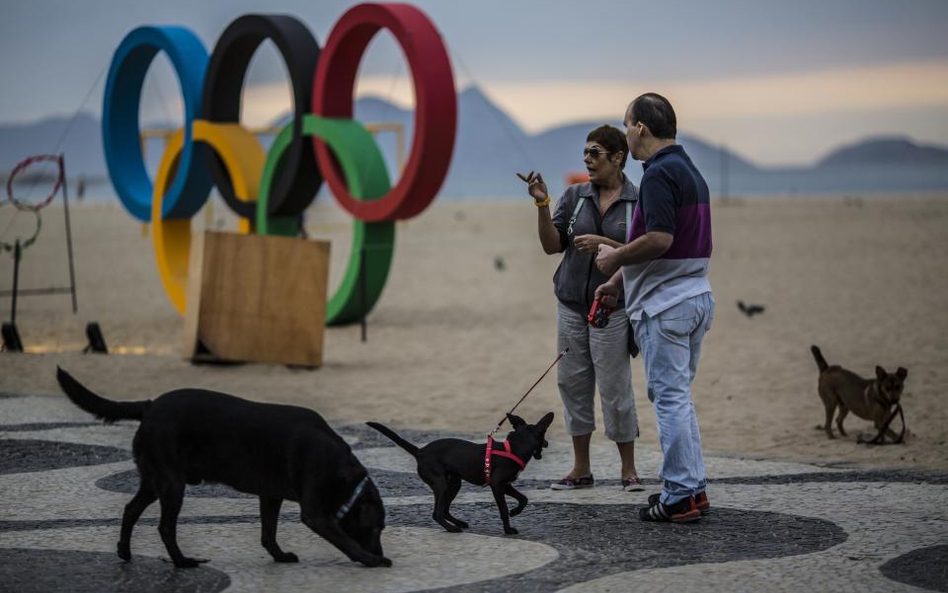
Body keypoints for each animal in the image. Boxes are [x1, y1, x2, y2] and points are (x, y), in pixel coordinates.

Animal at [55, 366, 390, 568]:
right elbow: (345, 540)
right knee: (164, 527)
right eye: (377, 528)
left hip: (153, 481)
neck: (343, 475)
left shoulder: (270, 496)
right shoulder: (315, 514)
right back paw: (182, 562)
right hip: (172, 484)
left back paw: (124, 552)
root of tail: (149, 406)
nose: (380, 552)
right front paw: (370, 560)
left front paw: (279, 556)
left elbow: (268, 534)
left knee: (130, 510)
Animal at [366, 414, 552, 536]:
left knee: (445, 509)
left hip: (454, 484)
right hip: (441, 484)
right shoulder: (497, 485)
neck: (514, 448)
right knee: (437, 513)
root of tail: (420, 452)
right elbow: (503, 509)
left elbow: (523, 498)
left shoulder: (506, 485)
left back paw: (459, 523)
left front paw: (515, 511)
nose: (548, 443)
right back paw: (451, 528)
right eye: (543, 434)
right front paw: (508, 529)